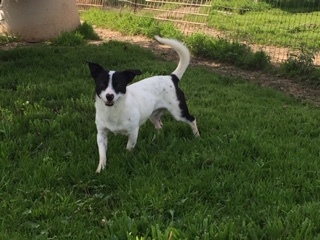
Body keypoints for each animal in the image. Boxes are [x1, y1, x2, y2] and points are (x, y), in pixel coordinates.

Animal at [87, 35, 200, 172]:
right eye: (102, 84)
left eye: (119, 85)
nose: (109, 96)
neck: (113, 111)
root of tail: (171, 77)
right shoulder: (101, 134)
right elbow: (102, 153)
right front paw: (101, 168)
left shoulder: (133, 132)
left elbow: (128, 148)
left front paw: (126, 160)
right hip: (153, 115)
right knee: (159, 125)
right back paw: (157, 138)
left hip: (179, 112)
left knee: (192, 119)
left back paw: (197, 136)